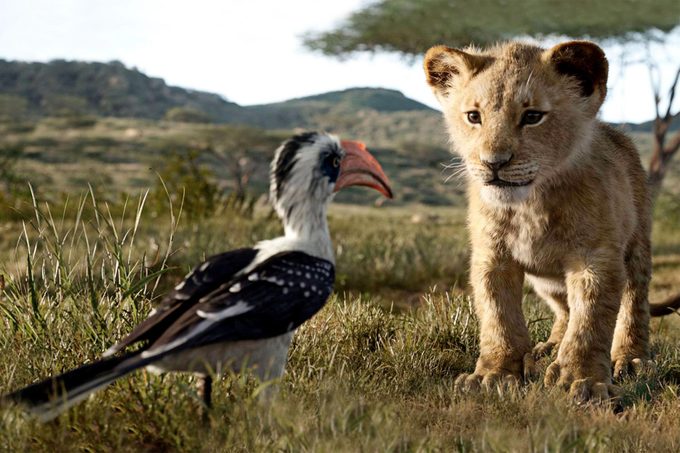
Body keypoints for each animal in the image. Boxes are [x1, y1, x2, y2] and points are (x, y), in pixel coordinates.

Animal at [423, 40, 677, 402]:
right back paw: (550, 347)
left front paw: (583, 380)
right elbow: (498, 316)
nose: (493, 163)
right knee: (564, 309)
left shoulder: (595, 257)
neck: (530, 203)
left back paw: (630, 359)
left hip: (637, 246)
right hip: (545, 281)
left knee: (633, 304)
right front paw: (494, 374)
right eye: (473, 116)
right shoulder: (492, 257)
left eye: (532, 117)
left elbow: (591, 321)